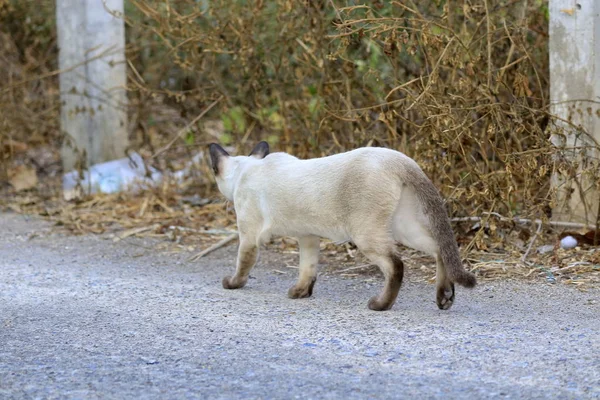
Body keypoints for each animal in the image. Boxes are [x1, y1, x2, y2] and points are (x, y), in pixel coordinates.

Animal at [209, 142, 476, 310]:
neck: (248, 170)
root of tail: (400, 159)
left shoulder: (249, 235)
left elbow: (243, 264)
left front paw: (231, 284)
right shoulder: (308, 237)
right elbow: (307, 268)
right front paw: (300, 293)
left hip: (366, 235)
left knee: (396, 265)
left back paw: (380, 305)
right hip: (404, 228)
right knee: (439, 249)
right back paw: (445, 298)